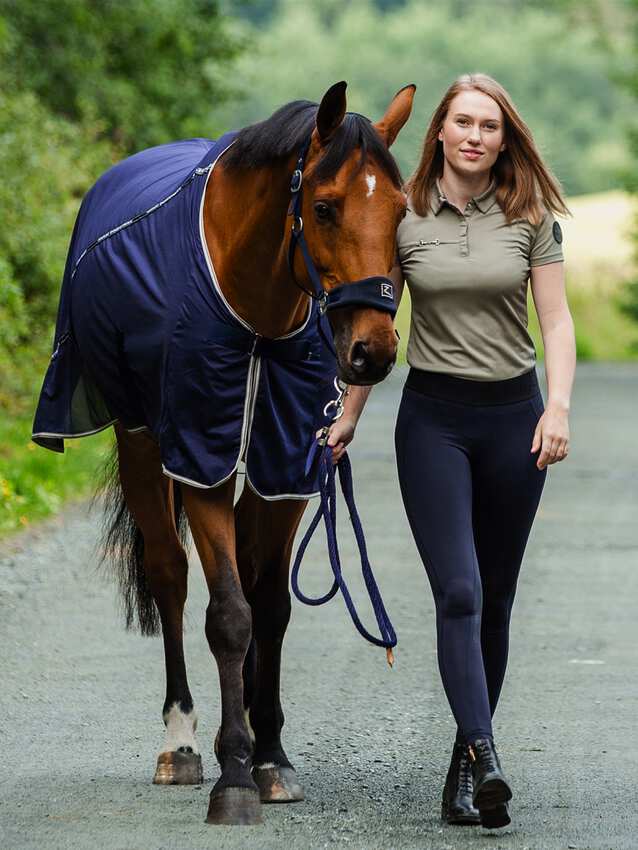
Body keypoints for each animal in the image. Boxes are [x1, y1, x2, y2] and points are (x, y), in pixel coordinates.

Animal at [32, 79, 418, 820]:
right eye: (324, 207)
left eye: (402, 210)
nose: (373, 352)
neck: (257, 315)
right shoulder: (201, 457)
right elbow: (230, 616)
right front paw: (235, 776)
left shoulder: (285, 463)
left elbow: (270, 608)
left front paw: (269, 757)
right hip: (142, 442)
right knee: (171, 577)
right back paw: (182, 743)